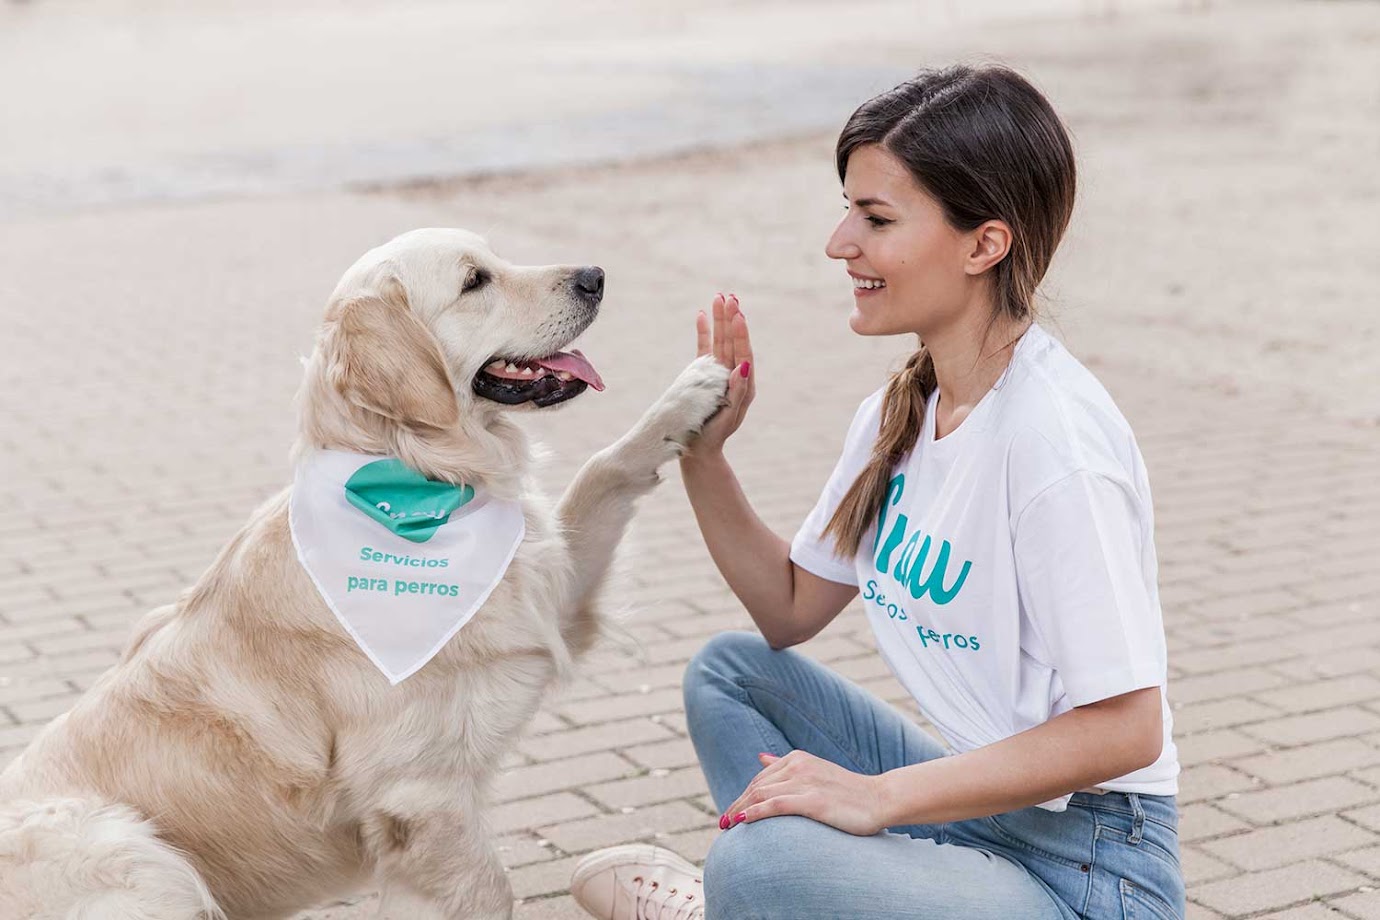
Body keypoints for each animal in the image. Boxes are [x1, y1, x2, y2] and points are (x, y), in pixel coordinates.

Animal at [0, 227, 730, 919]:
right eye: (475, 281)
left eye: (494, 257)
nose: (594, 276)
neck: (415, 476)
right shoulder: (421, 795)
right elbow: (487, 893)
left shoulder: (552, 606)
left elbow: (604, 469)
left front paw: (688, 393)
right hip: (130, 851)